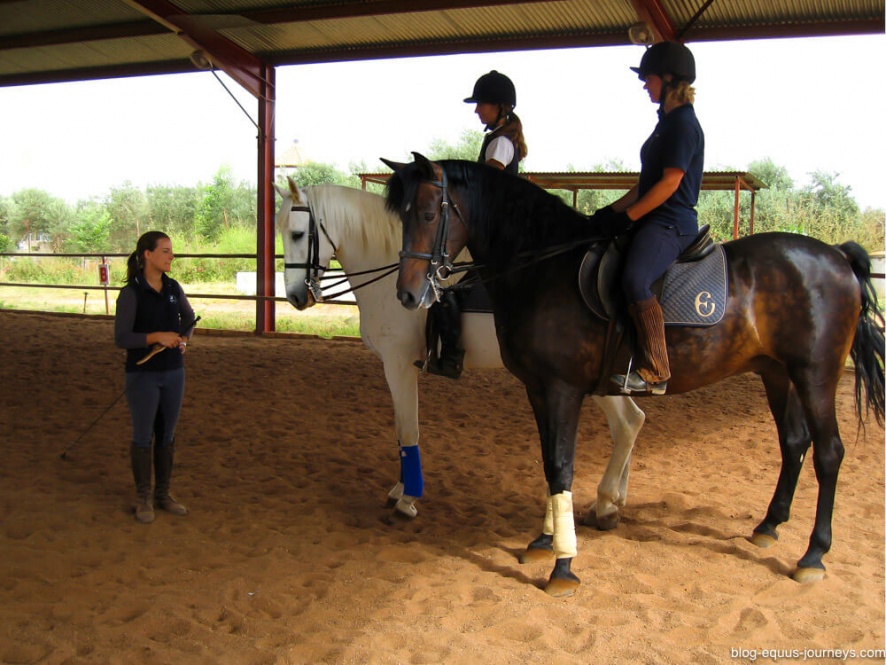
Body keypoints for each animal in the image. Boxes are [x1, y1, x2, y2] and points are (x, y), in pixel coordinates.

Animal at [274, 179, 648, 536]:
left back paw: (605, 504)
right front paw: (399, 490)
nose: (295, 297)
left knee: (627, 423)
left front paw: (407, 500)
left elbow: (408, 431)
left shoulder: (398, 365)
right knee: (631, 421)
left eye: (297, 233)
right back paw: (613, 503)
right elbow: (399, 430)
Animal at [386, 152, 884, 596]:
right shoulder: (538, 389)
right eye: (402, 217)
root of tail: (836, 256)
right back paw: (768, 525)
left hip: (816, 375)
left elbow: (561, 465)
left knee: (829, 453)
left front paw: (563, 566)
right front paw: (546, 541)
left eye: (428, 213)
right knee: (794, 442)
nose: (407, 295)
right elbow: (550, 463)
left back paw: (813, 556)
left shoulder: (562, 389)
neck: (542, 267)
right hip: (777, 373)